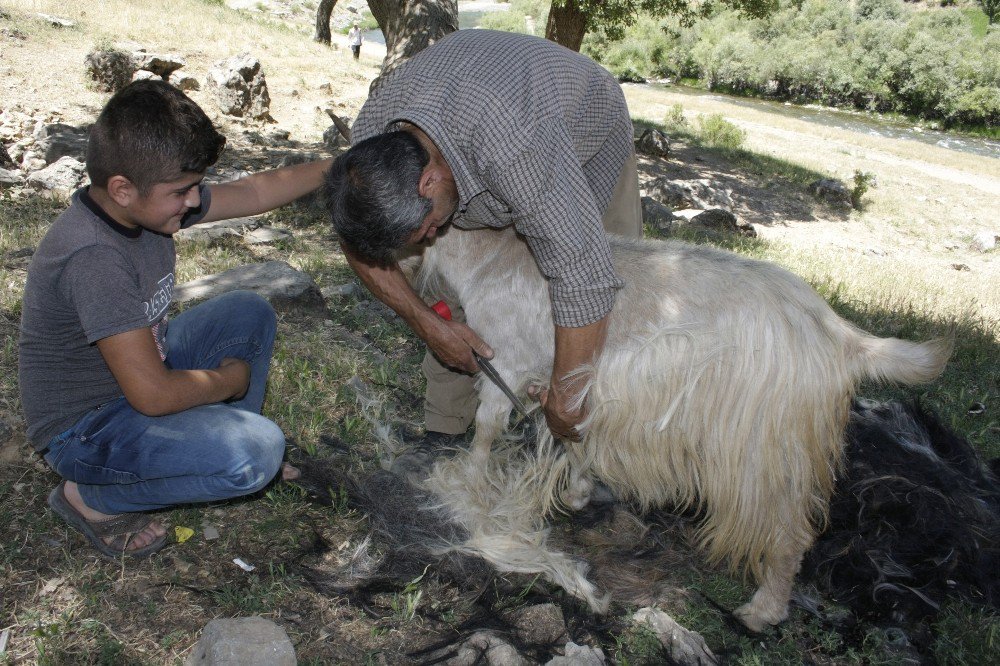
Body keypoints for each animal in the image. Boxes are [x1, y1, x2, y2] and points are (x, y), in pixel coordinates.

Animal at [404, 226, 944, 632]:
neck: (491, 257)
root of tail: (840, 336)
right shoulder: (568, 387)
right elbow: (572, 436)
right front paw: (577, 492)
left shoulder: (506, 364)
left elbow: (486, 427)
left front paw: (470, 483)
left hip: (765, 445)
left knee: (789, 531)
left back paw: (762, 610)